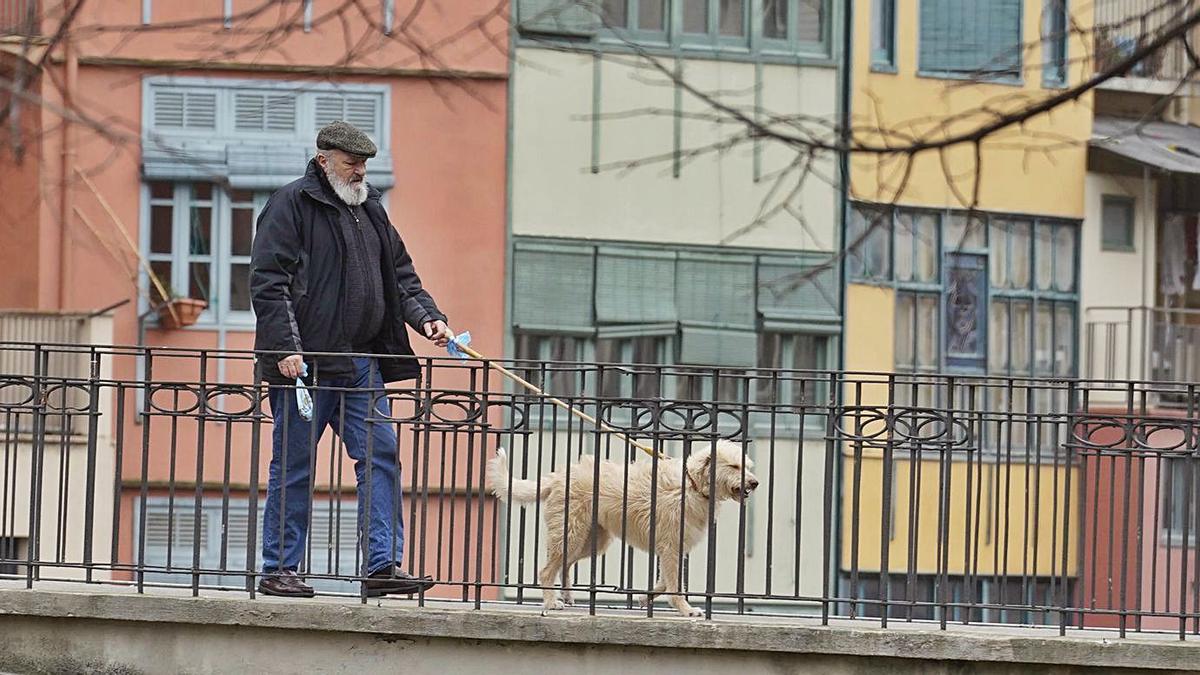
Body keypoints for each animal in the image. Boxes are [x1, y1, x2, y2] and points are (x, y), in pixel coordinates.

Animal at [482, 439, 753, 619]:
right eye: (734, 466)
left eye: (747, 466)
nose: (755, 483)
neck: (693, 485)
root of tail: (558, 476)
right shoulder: (670, 547)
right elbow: (675, 584)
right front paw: (686, 609)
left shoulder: (673, 550)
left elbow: (665, 581)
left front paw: (645, 597)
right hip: (571, 534)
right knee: (547, 570)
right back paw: (551, 603)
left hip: (591, 540)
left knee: (565, 564)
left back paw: (567, 596)